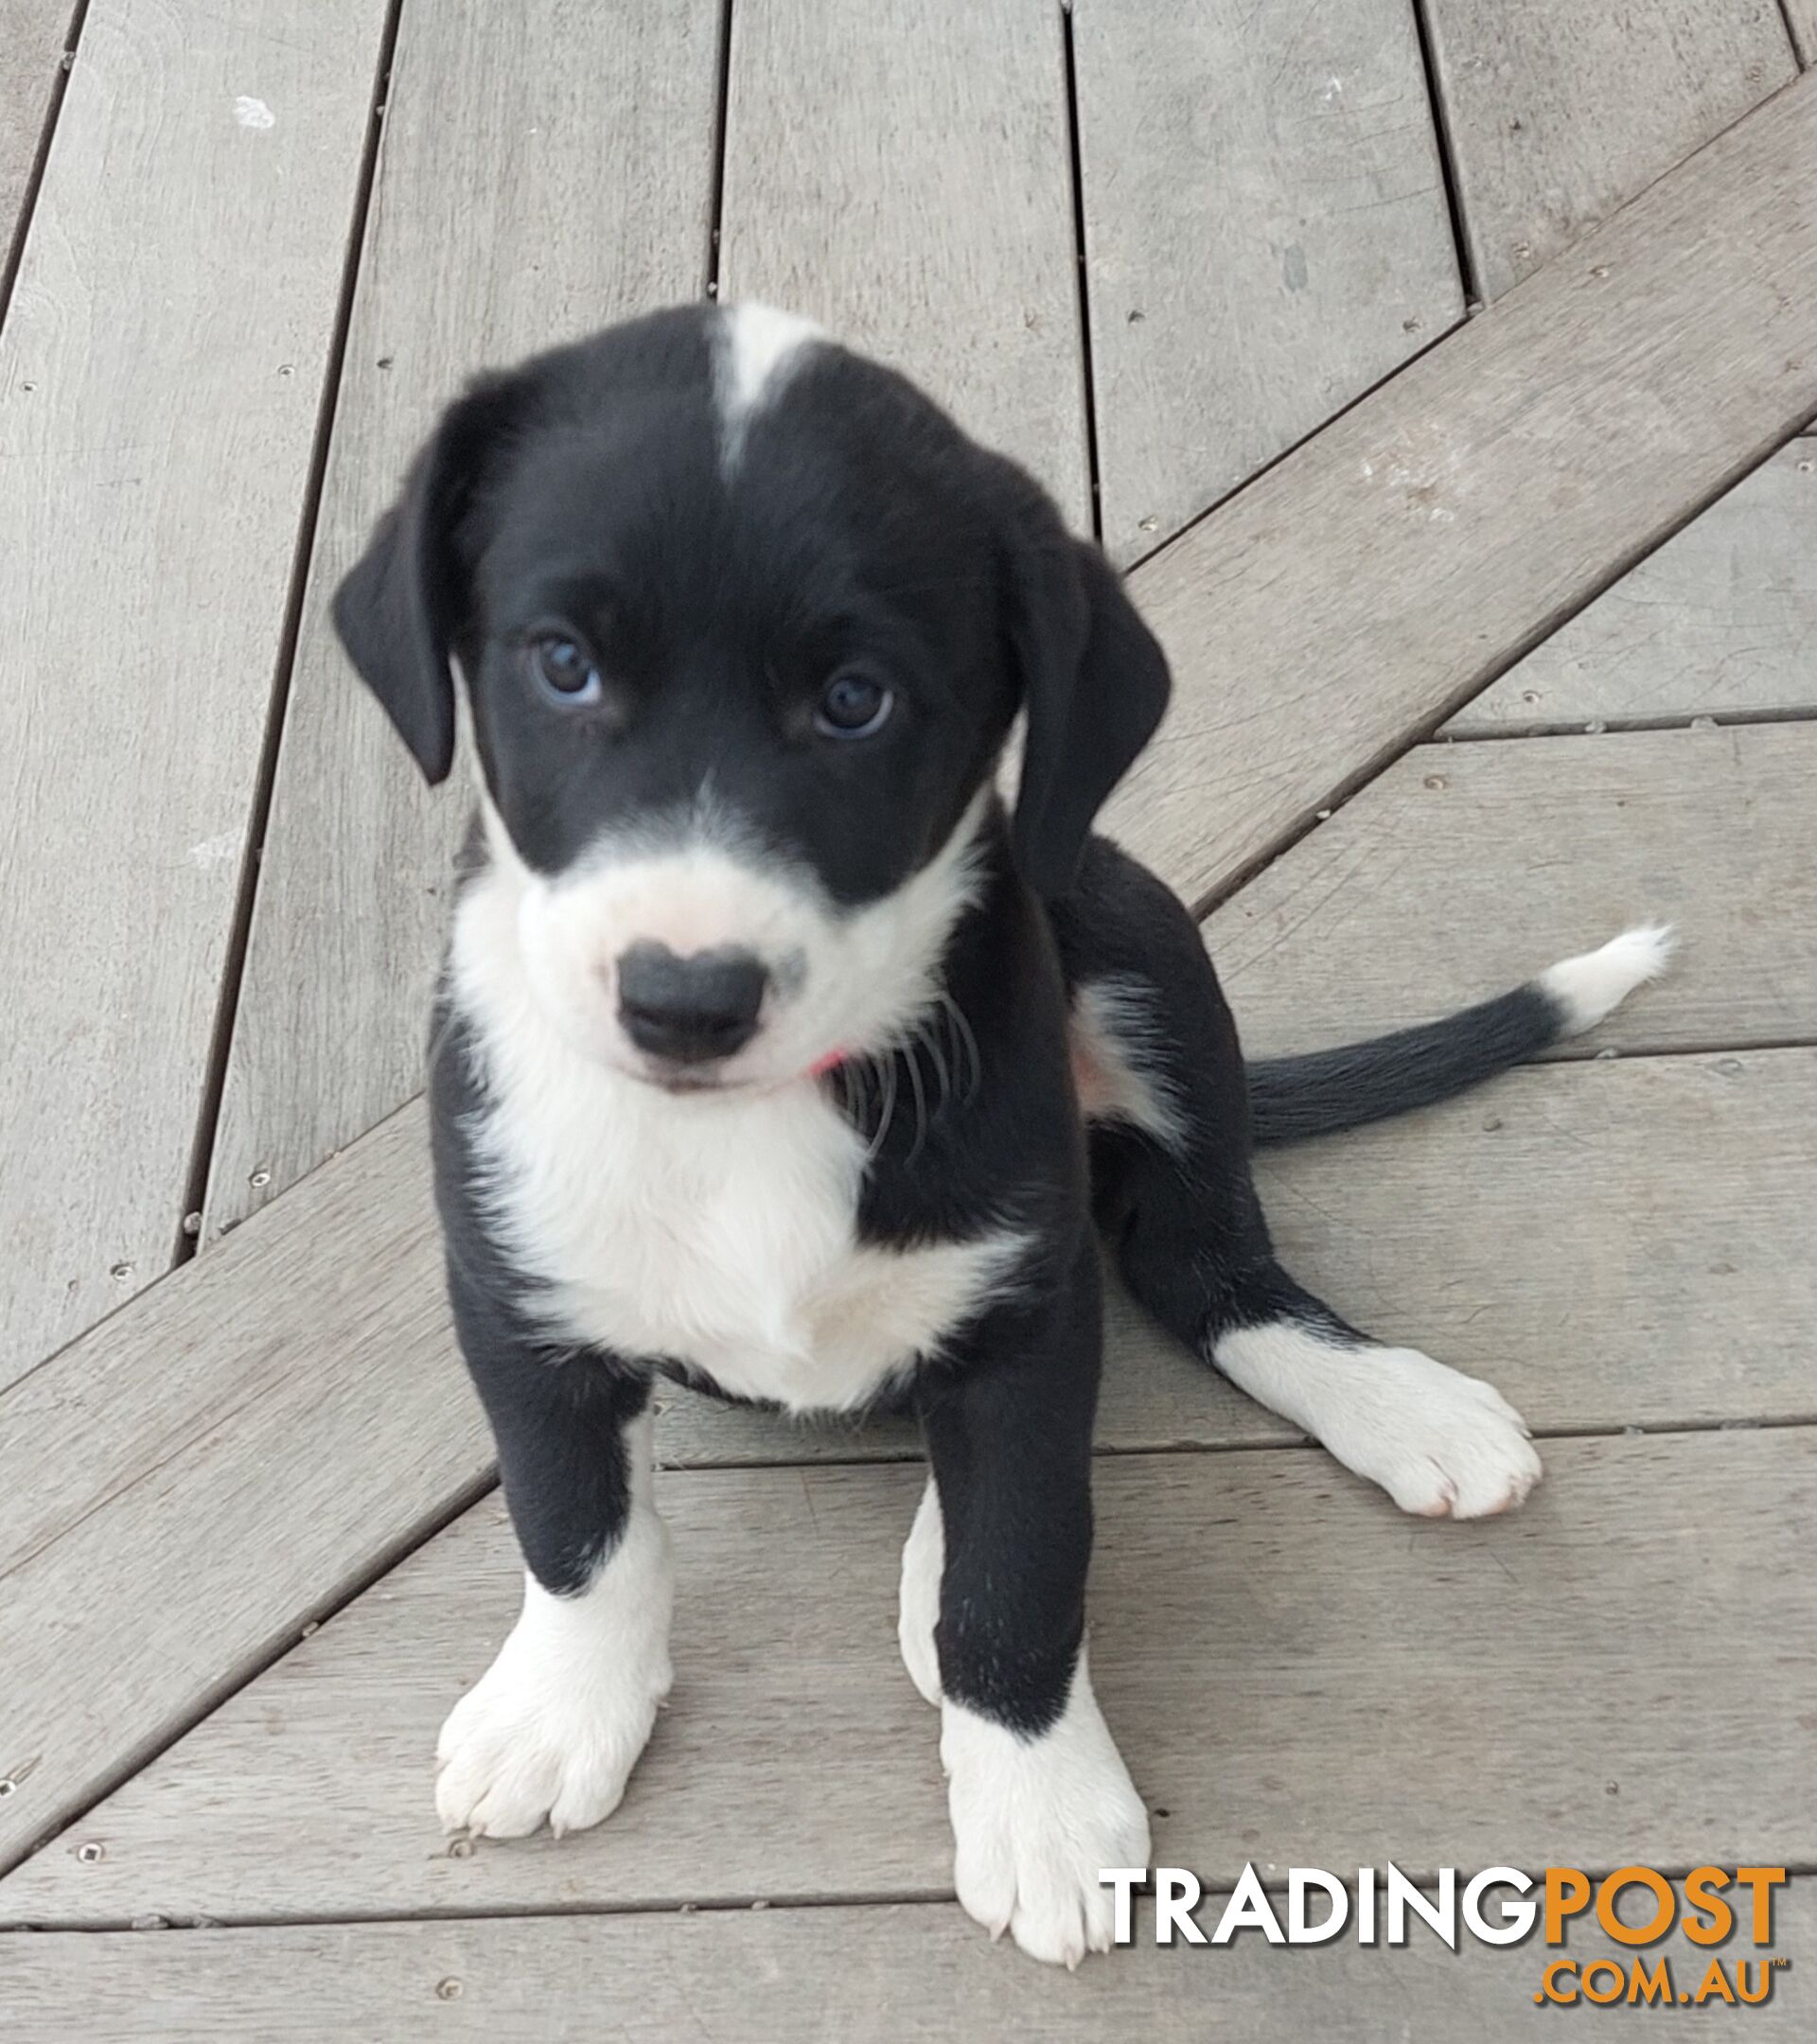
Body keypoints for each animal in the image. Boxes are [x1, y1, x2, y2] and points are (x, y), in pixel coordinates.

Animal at [333, 298, 1667, 1962]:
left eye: (858, 700)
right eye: (562, 666)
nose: (686, 998)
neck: (764, 1121)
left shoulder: (1026, 1310)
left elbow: (1024, 1568)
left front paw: (1040, 1806)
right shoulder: (513, 1293)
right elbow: (576, 1523)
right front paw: (560, 1711)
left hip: (1129, 927)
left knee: (1196, 1266)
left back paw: (1385, 1400)